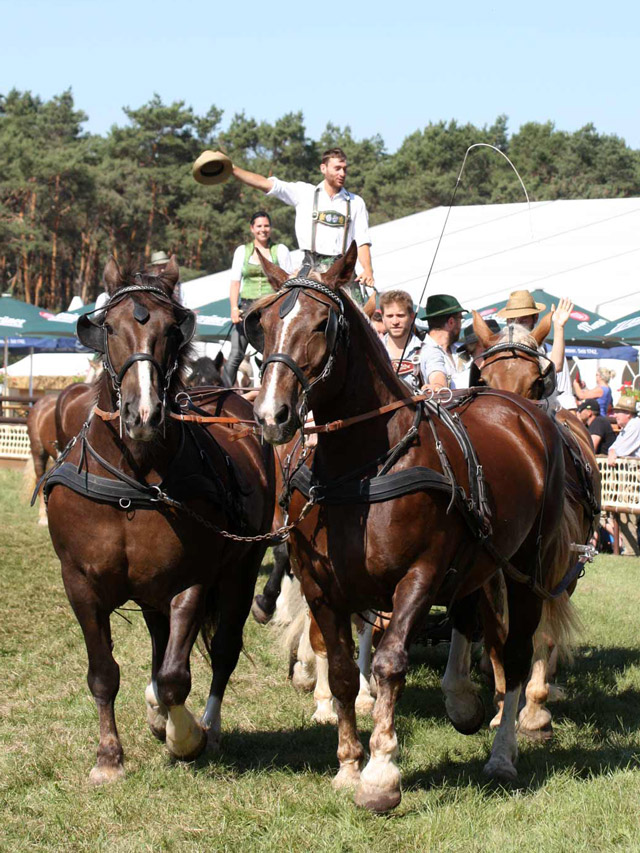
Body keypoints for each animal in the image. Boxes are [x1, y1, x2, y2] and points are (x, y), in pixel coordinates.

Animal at [44, 256, 276, 784]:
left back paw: (206, 727)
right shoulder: (79, 583)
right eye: (109, 327)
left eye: (173, 329)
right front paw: (109, 757)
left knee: (222, 650)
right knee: (158, 640)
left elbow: (175, 676)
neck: (133, 480)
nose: (144, 414)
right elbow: (104, 673)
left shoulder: (192, 580)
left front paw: (183, 736)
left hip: (242, 567)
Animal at [246, 245, 576, 812]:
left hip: (524, 569)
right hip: (476, 563)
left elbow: (390, 662)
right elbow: (340, 669)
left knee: (515, 650)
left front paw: (381, 774)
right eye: (263, 322)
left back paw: (504, 750)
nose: (272, 415)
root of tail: (523, 412)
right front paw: (348, 766)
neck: (361, 470)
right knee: (473, 619)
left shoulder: (419, 576)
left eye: (322, 323)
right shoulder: (321, 584)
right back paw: (463, 701)